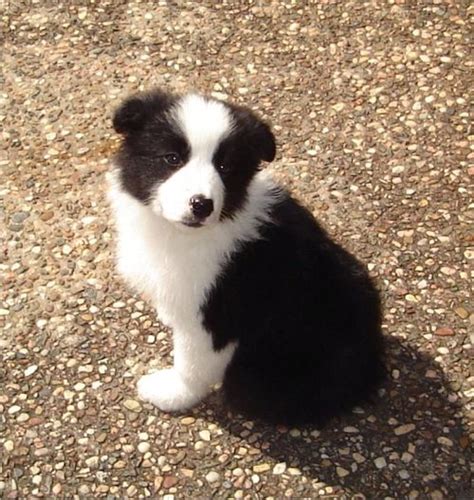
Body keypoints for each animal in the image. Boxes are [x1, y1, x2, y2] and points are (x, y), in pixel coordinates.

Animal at [108, 90, 386, 426]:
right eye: (172, 158)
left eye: (225, 166)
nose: (201, 205)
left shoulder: (214, 316)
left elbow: (191, 363)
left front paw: (171, 394)